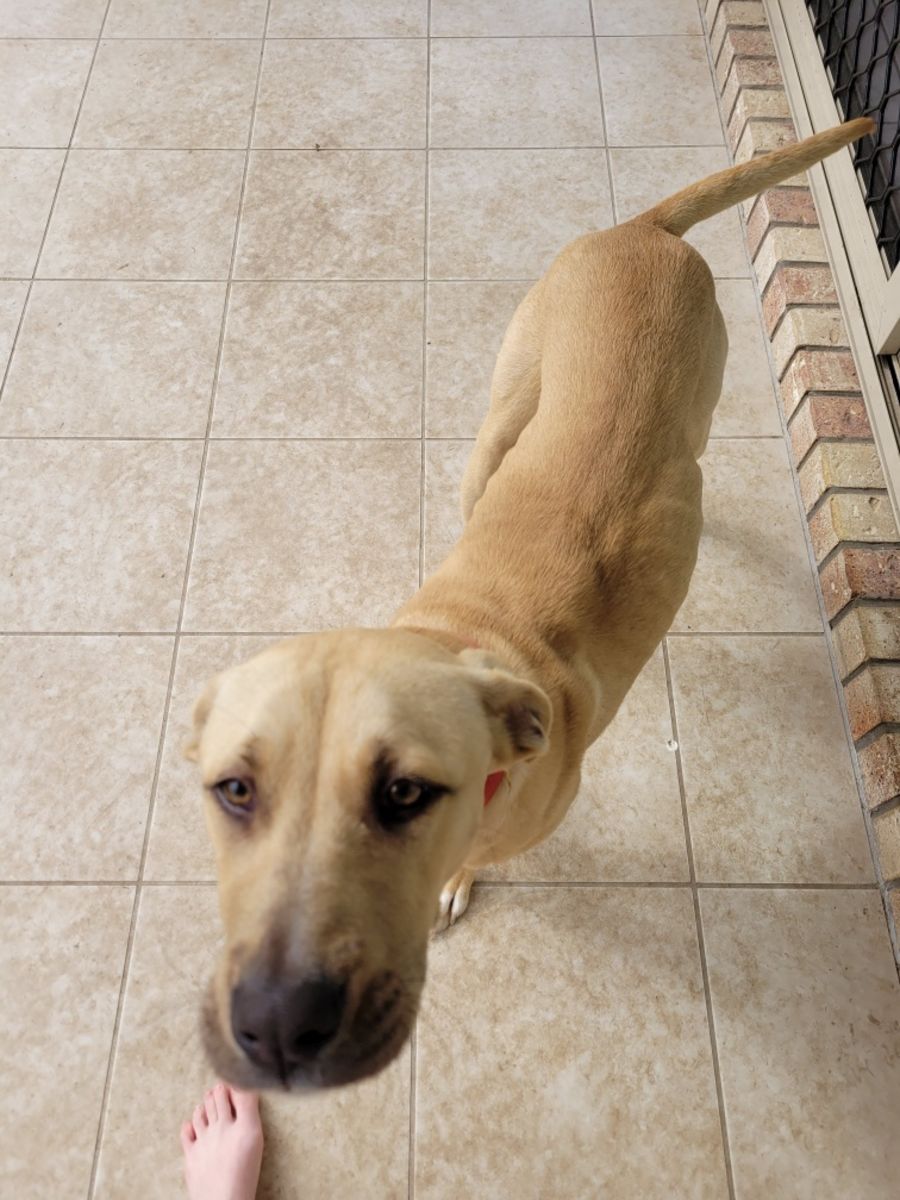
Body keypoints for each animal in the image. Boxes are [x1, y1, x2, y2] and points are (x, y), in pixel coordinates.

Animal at [185, 118, 873, 1092]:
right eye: (239, 790)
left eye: (404, 793)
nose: (282, 1019)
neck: (468, 638)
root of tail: (642, 232)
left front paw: (454, 879)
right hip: (509, 406)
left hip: (665, 410)